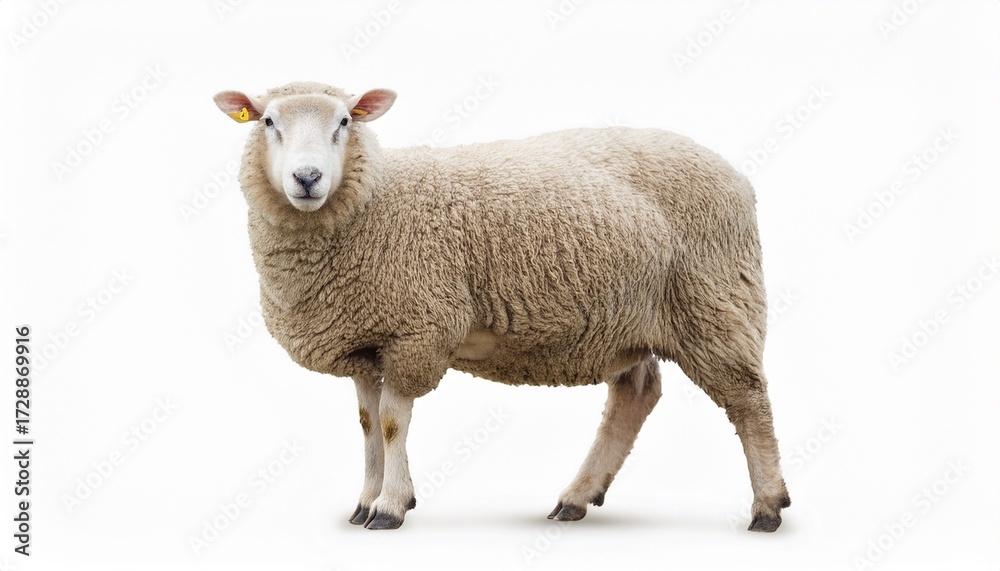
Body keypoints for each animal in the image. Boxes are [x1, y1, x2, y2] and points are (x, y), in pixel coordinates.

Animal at [212, 81, 791, 531]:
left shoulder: (417, 330)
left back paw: (767, 505)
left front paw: (391, 506)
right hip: (630, 316)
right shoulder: (365, 341)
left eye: (344, 122)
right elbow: (367, 422)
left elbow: (393, 422)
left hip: (715, 301)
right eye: (268, 120)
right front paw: (366, 500)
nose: (307, 178)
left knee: (748, 399)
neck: (375, 200)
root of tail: (734, 175)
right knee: (636, 394)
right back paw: (577, 496)